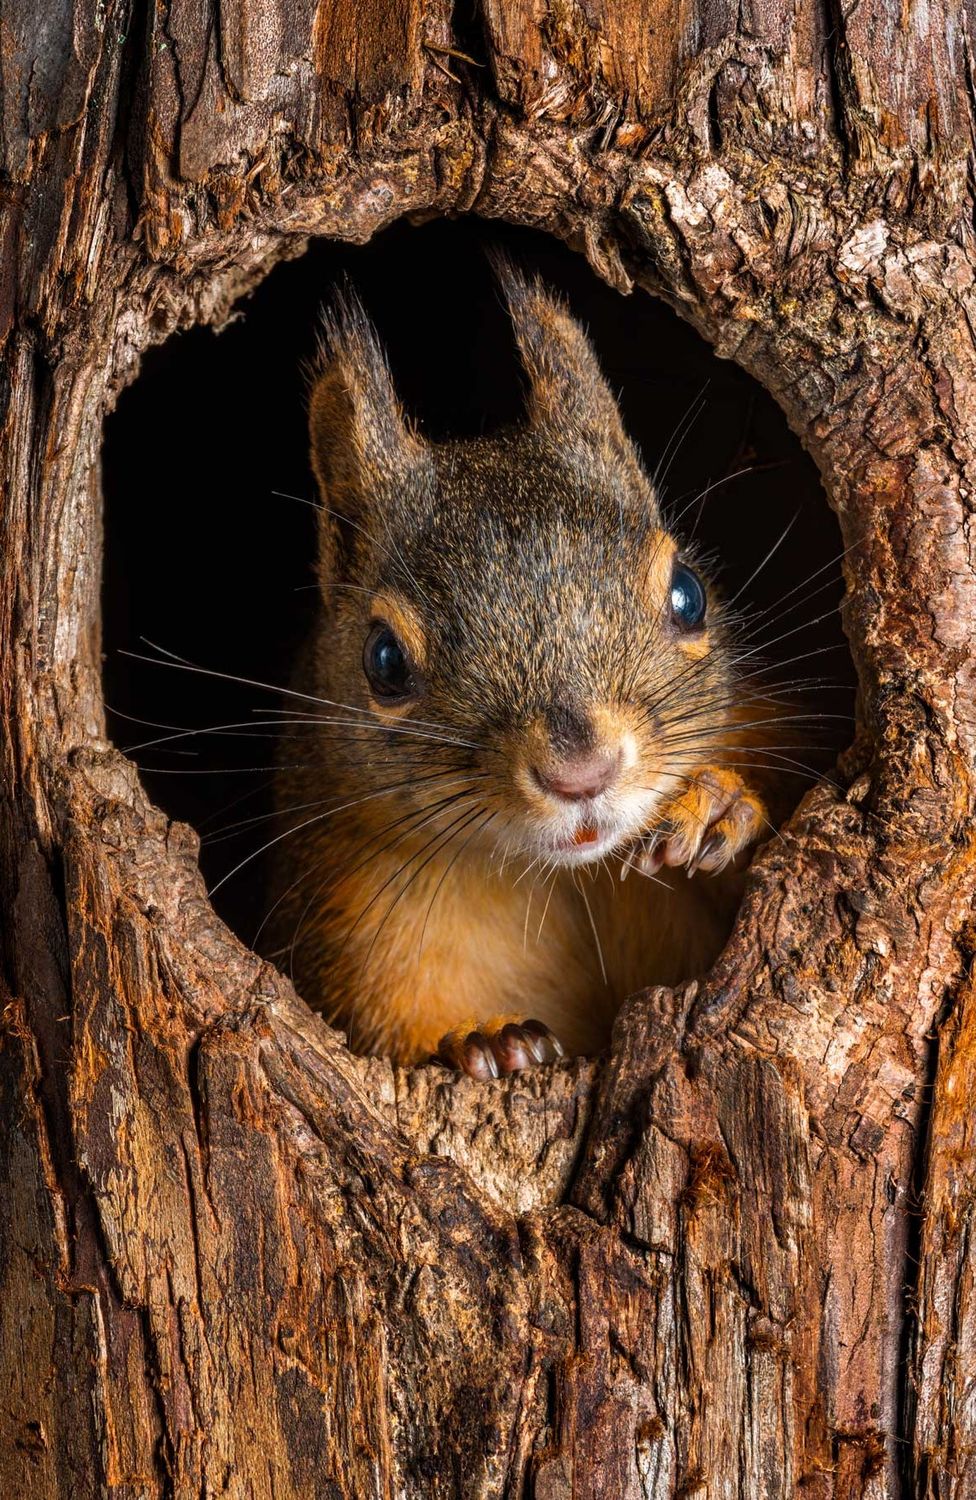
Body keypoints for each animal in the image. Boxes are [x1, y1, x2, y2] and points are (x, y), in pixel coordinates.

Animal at [267, 267, 784, 1079]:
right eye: (383, 661)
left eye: (688, 595)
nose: (581, 774)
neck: (562, 879)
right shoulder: (350, 920)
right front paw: (484, 1041)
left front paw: (718, 810)